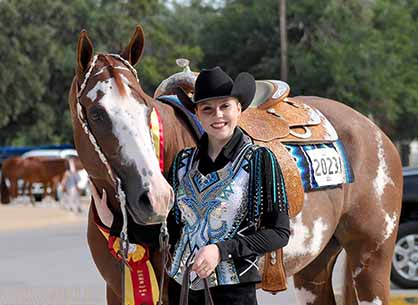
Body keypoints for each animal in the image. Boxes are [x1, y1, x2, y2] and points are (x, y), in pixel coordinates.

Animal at [68, 26, 402, 304]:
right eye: (96, 113)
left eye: (146, 108)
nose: (157, 198)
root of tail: (373, 130)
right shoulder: (117, 290)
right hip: (314, 268)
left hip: (371, 259)